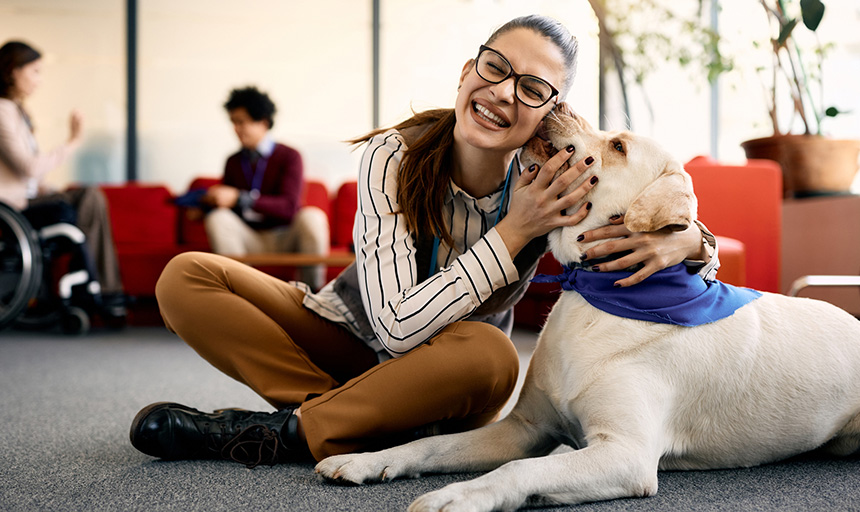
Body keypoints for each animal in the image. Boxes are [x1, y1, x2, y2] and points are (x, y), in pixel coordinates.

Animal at [314, 106, 860, 510]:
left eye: (619, 146)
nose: (556, 103)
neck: (595, 292)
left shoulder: (624, 452)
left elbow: (521, 468)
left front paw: (458, 496)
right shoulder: (524, 428)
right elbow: (432, 444)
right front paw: (366, 460)